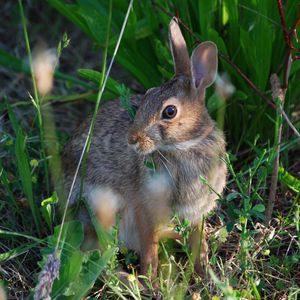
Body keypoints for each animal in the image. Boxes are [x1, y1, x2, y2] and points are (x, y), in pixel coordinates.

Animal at [63, 17, 227, 278]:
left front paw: (204, 270)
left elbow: (196, 239)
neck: (184, 146)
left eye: (169, 111)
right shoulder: (144, 207)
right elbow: (149, 245)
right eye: (147, 95)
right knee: (99, 255)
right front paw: (151, 277)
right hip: (101, 210)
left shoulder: (197, 212)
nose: (132, 139)